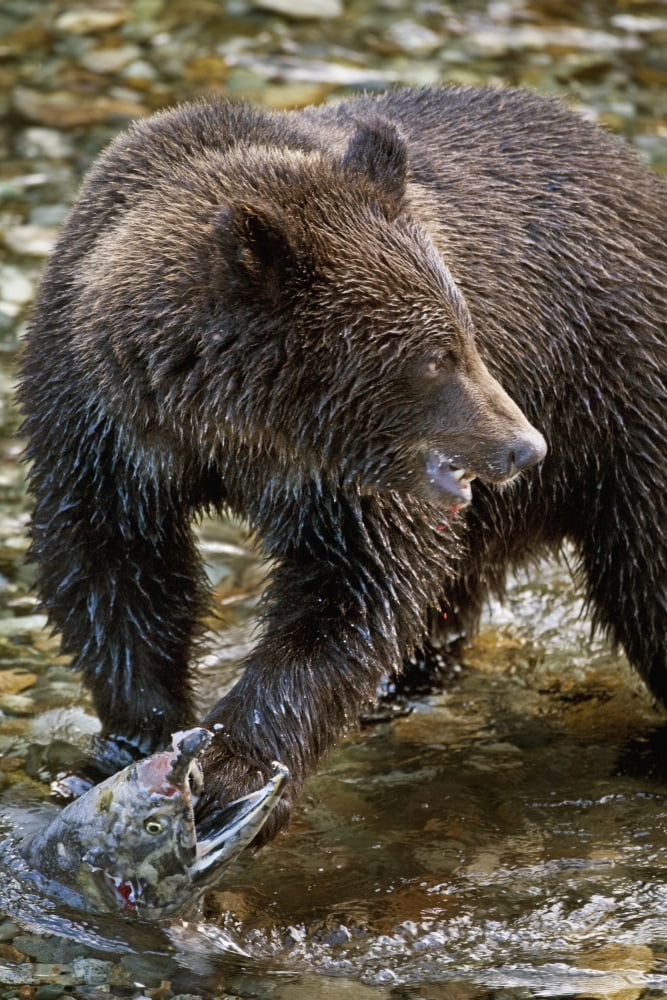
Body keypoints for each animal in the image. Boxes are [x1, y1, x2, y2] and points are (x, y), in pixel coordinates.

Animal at [18, 85, 667, 847]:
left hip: (624, 401)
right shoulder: (99, 425)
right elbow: (111, 569)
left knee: (646, 575)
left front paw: (235, 774)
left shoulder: (346, 484)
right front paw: (126, 747)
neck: (222, 427)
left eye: (466, 331)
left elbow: (349, 593)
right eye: (434, 357)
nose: (525, 447)